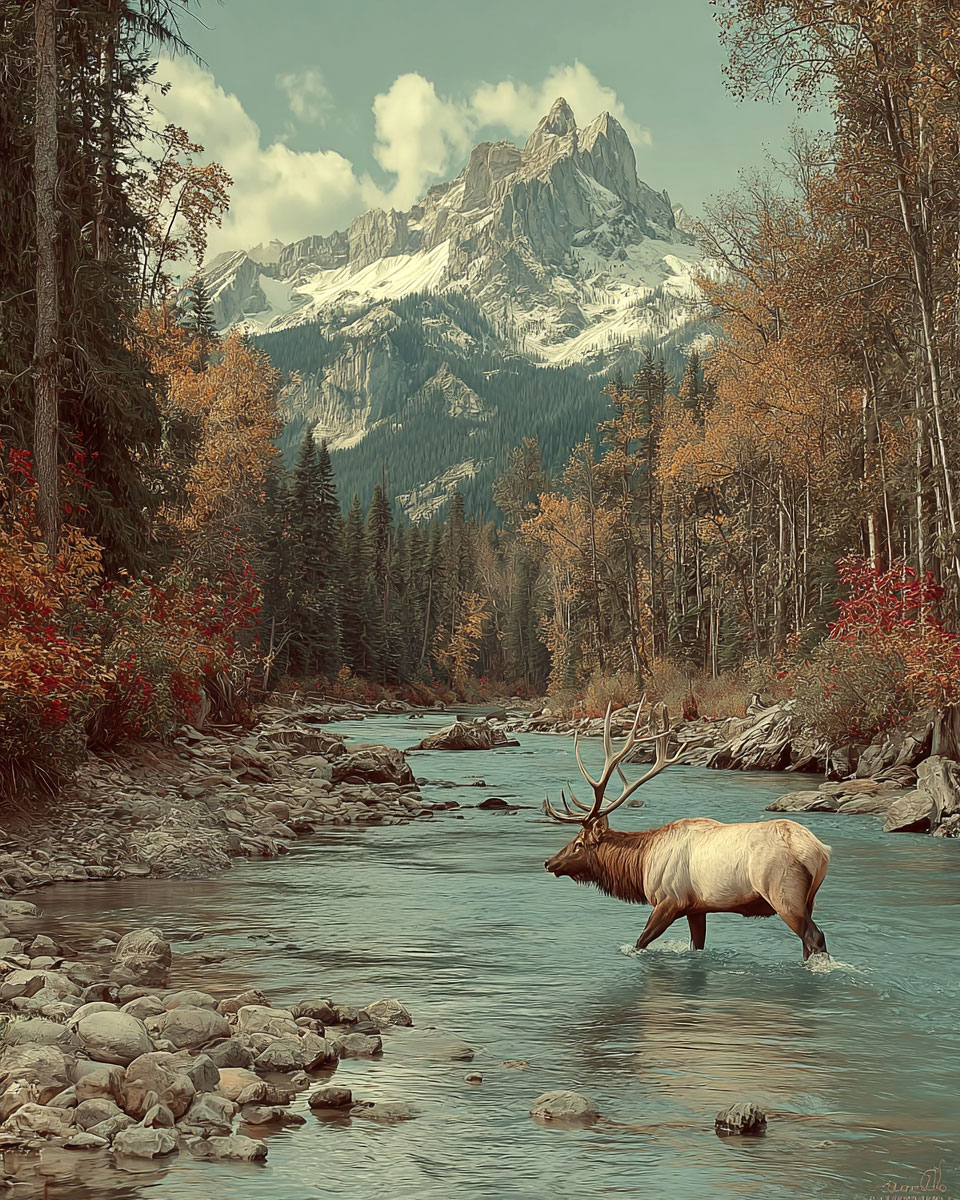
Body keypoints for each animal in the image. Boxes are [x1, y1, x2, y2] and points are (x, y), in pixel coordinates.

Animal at [542, 702, 831, 961]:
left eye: (578, 843)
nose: (549, 862)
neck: (642, 862)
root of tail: (820, 851)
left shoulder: (669, 900)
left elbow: (640, 942)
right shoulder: (697, 908)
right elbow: (697, 945)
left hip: (783, 893)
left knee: (814, 937)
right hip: (808, 899)